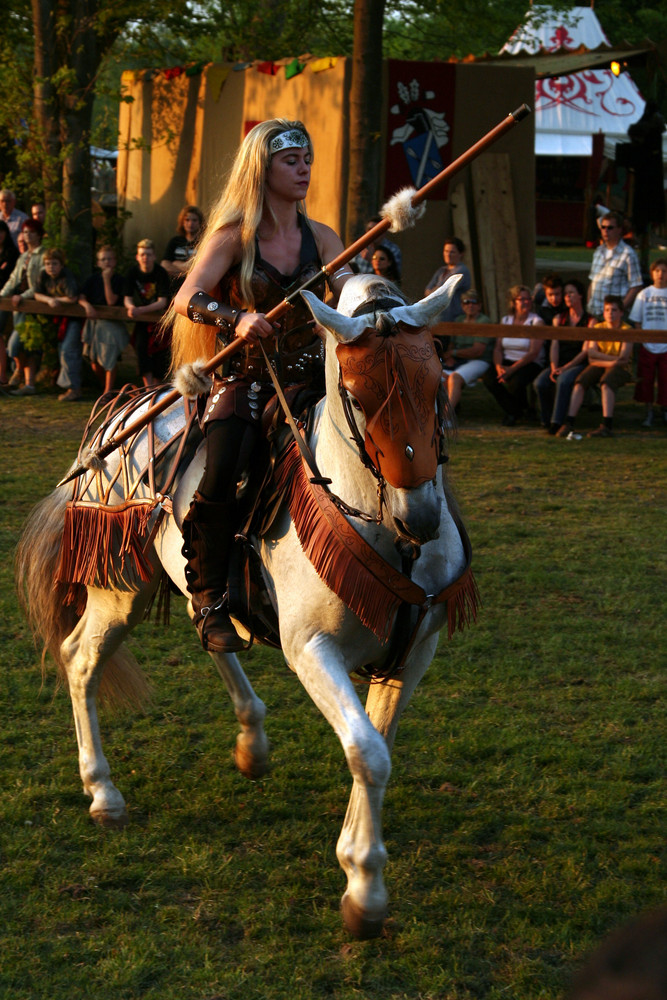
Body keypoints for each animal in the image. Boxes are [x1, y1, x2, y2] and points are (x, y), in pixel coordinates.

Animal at [15, 272, 474, 936]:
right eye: (356, 396)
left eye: (436, 383)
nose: (421, 517)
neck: (383, 529)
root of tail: (119, 415)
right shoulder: (311, 649)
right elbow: (367, 752)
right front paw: (363, 889)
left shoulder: (413, 651)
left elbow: (376, 749)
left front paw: (359, 868)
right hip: (118, 587)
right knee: (80, 659)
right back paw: (103, 794)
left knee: (206, 618)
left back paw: (250, 739)